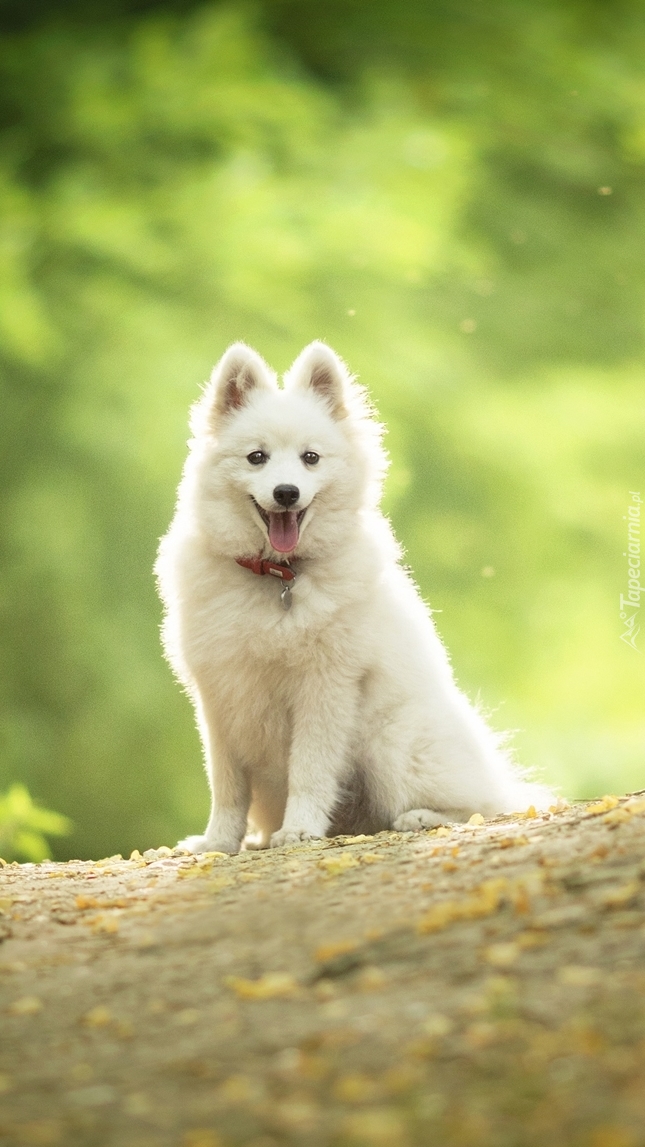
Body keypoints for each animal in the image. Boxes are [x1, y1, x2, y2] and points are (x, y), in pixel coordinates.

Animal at [154, 339, 546, 853]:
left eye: (311, 458)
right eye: (256, 457)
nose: (286, 492)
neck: (279, 575)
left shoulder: (325, 688)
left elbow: (309, 770)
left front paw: (299, 829)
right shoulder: (220, 696)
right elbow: (226, 785)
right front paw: (218, 842)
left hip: (390, 741)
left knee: (484, 806)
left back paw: (420, 817)